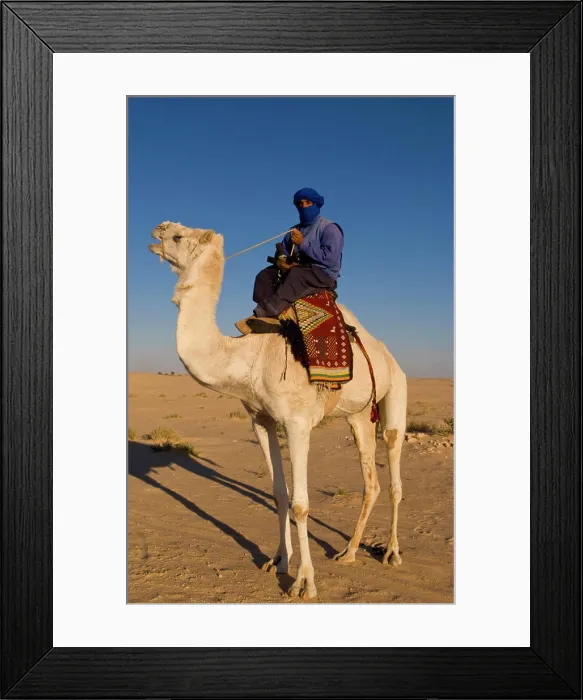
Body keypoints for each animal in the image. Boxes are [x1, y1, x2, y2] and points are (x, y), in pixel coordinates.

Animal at [148, 222, 407, 600]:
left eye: (180, 236)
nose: (158, 229)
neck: (249, 356)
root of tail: (388, 355)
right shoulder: (261, 420)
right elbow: (279, 494)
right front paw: (278, 561)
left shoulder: (297, 422)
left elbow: (301, 503)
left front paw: (304, 583)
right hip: (358, 416)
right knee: (370, 481)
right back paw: (348, 552)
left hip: (396, 392)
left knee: (392, 468)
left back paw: (391, 552)